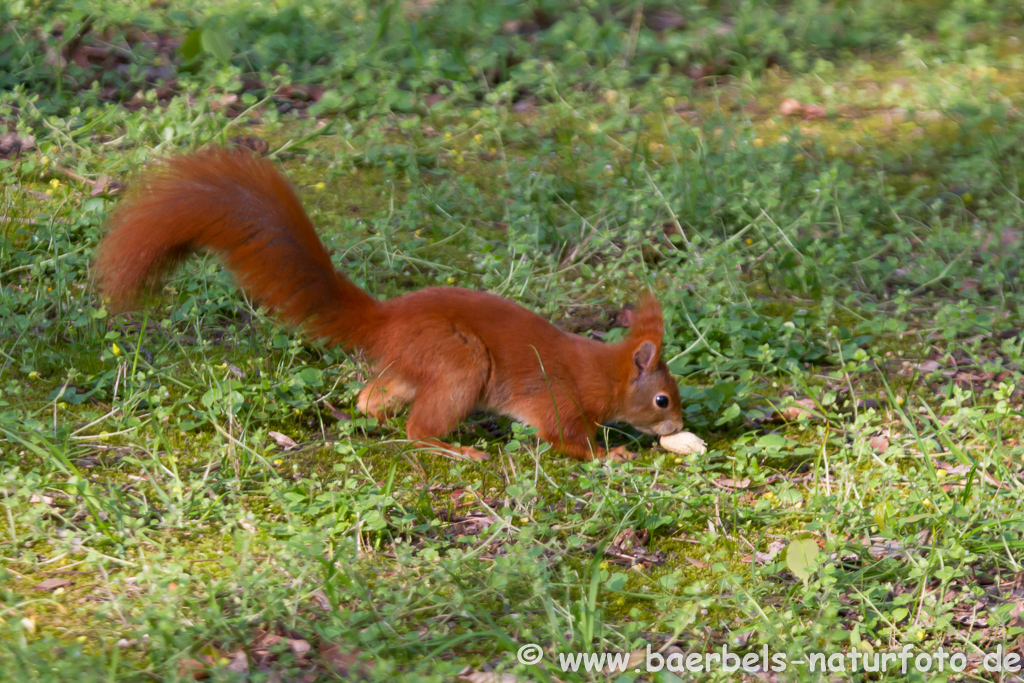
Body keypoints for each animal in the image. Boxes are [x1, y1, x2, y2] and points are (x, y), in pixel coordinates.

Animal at [96, 147, 684, 462]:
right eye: (661, 400)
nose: (678, 425)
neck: (599, 371)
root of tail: (385, 321)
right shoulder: (558, 401)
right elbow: (567, 441)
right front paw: (613, 454)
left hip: (417, 368)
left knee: (370, 400)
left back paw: (370, 416)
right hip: (459, 364)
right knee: (418, 432)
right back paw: (457, 448)